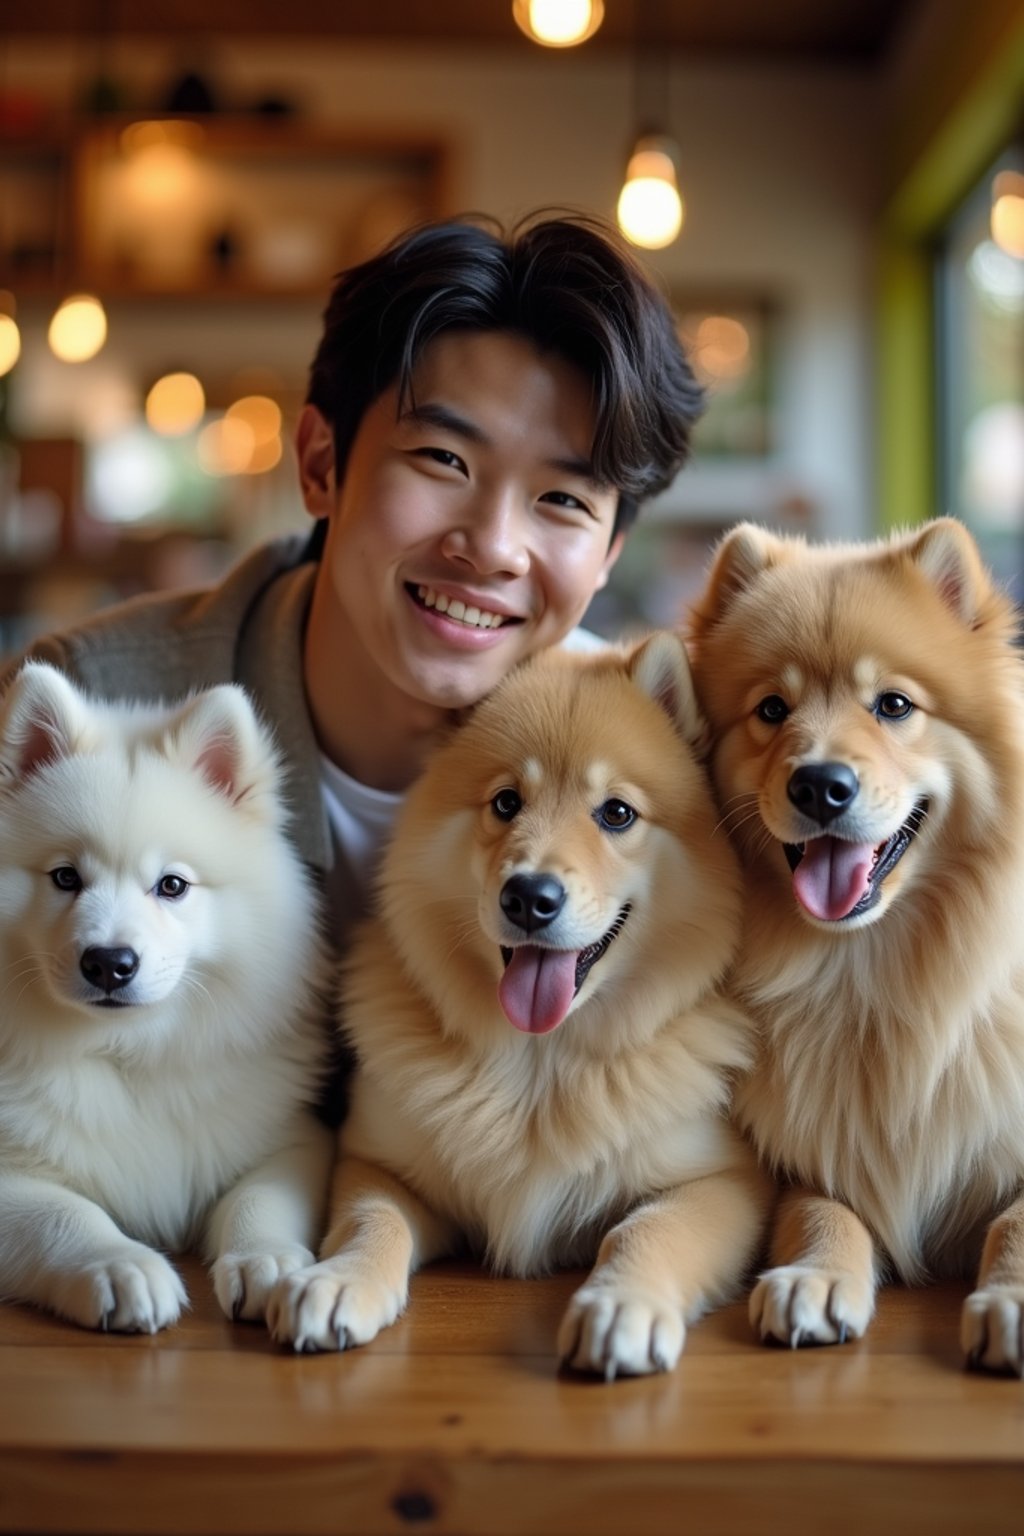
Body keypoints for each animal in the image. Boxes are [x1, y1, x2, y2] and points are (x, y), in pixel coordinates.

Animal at [267, 629, 767, 1376]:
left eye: (616, 813)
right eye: (506, 803)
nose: (530, 897)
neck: (541, 1062)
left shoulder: (723, 1180)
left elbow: (649, 1230)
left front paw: (623, 1303)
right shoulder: (378, 1165)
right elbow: (369, 1220)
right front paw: (340, 1280)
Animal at [687, 522, 1024, 1376]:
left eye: (894, 705)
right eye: (771, 709)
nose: (820, 784)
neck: (870, 970)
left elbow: (1016, 1223)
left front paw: (1011, 1301)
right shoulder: (812, 1154)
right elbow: (823, 1210)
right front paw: (815, 1276)